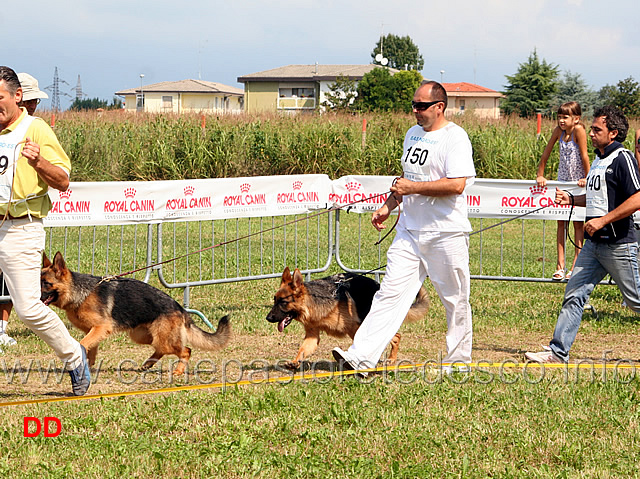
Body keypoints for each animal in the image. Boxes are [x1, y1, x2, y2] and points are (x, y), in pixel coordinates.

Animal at [40, 251, 230, 376]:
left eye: (46, 283)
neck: (81, 292)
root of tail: (180, 308)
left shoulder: (100, 328)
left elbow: (83, 344)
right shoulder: (93, 331)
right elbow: (90, 348)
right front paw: (88, 366)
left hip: (162, 338)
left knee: (186, 350)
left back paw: (177, 371)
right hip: (142, 336)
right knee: (161, 349)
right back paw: (148, 364)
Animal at [268, 268, 428, 370]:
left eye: (283, 302)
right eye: (275, 300)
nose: (268, 318)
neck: (313, 303)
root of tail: (377, 286)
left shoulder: (354, 328)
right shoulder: (312, 335)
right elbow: (303, 349)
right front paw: (295, 362)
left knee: (395, 335)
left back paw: (392, 359)